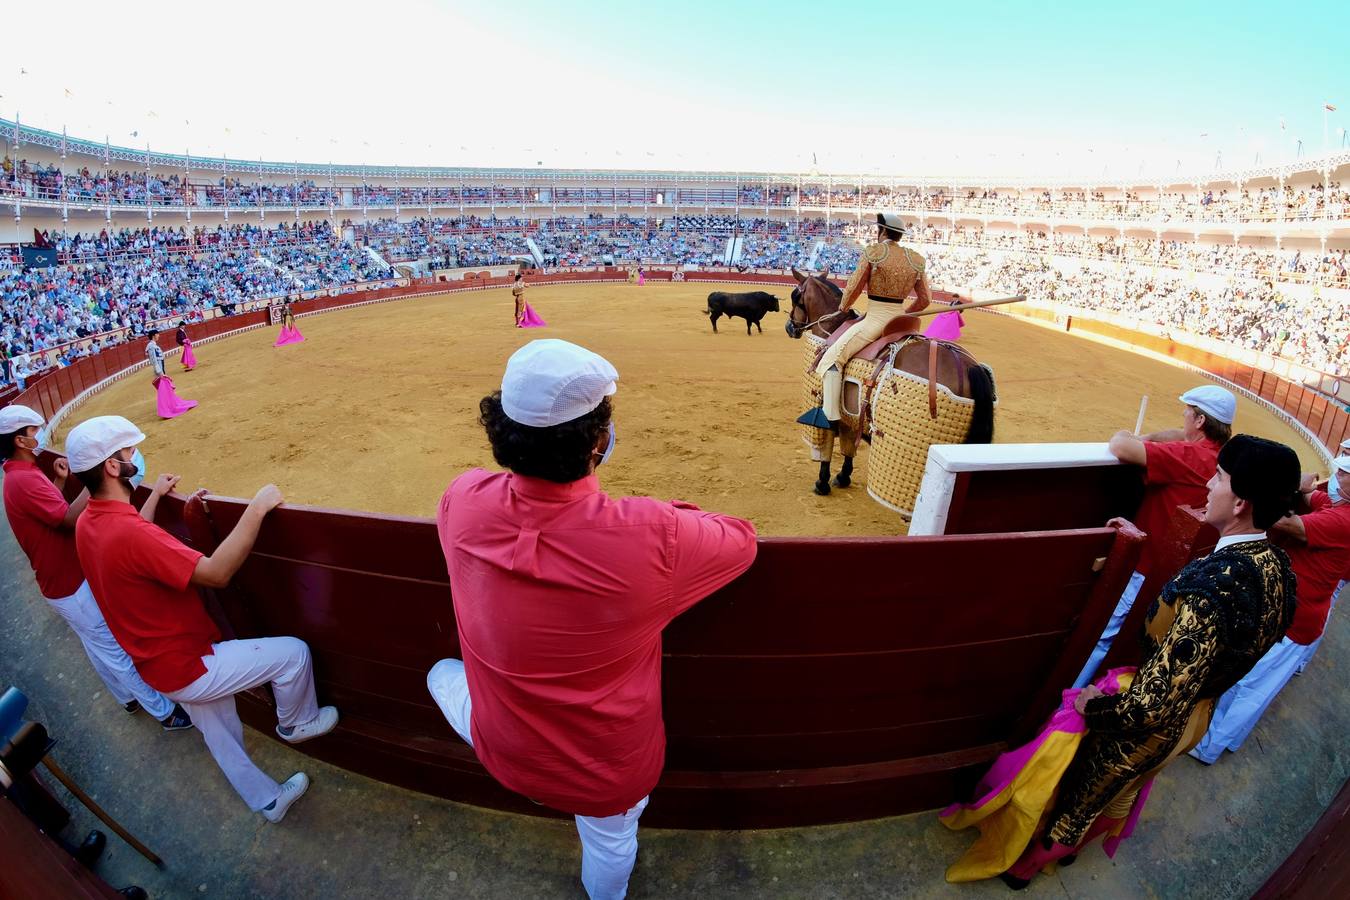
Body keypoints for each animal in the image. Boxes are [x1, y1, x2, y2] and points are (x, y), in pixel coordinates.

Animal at [783, 271, 993, 499]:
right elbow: (848, 447)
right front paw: (843, 477)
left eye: (795, 296)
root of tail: (970, 366)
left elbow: (827, 446)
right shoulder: (851, 414)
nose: (789, 327)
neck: (834, 328)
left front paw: (822, 483)